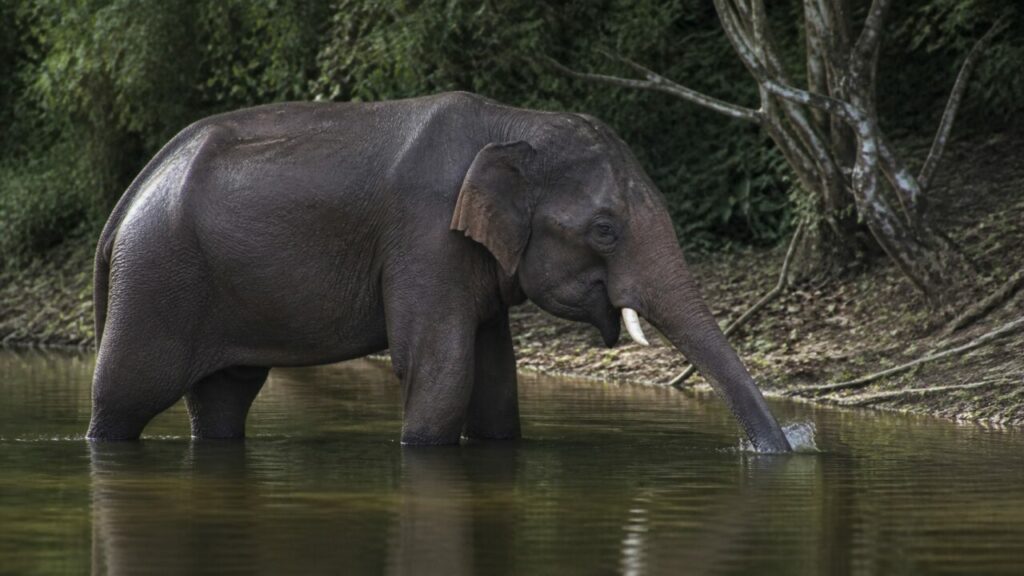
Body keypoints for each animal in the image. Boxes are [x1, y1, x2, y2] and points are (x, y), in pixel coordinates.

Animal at [86, 91, 791, 452]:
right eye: (605, 229)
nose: (787, 448)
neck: (517, 125)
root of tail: (131, 192)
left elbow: (496, 378)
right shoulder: (426, 238)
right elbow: (441, 367)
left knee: (225, 394)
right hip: (158, 276)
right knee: (127, 392)